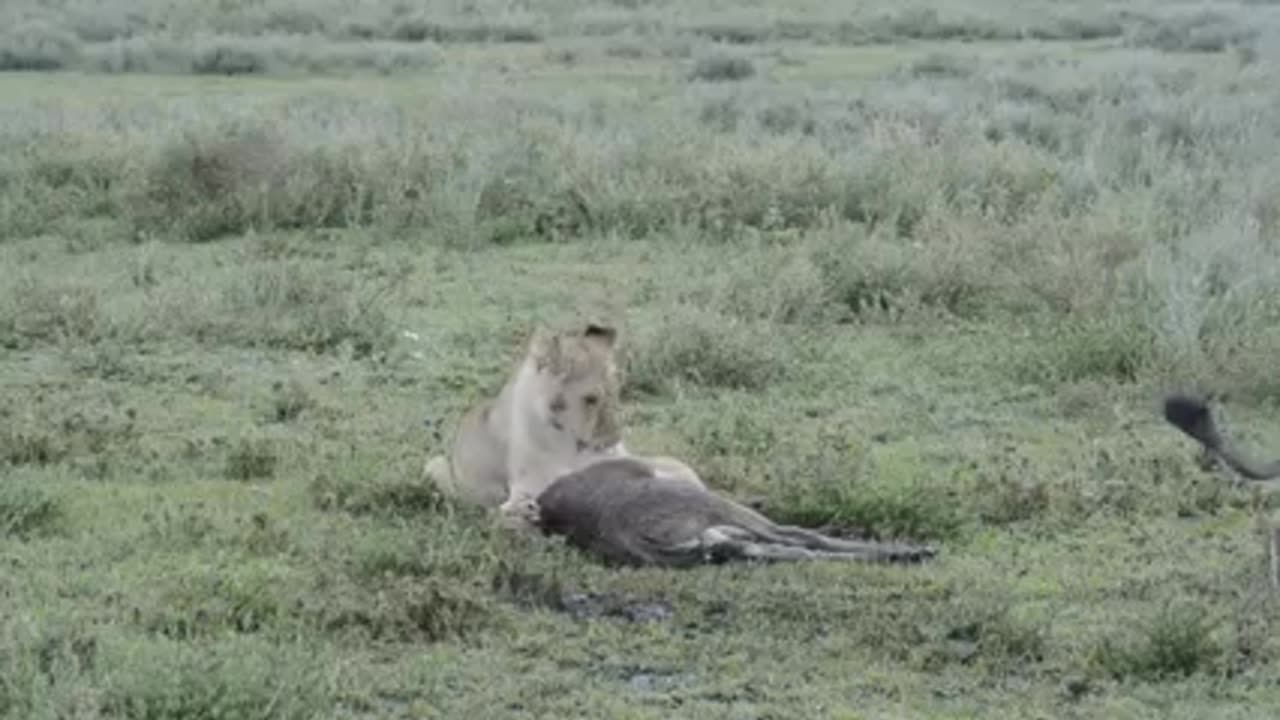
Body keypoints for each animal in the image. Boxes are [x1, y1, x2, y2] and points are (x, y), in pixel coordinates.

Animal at [424, 324, 706, 520]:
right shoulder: (534, 482)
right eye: (590, 398)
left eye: (616, 392)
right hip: (435, 466)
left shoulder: (614, 458)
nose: (613, 439)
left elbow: (677, 465)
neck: (568, 443)